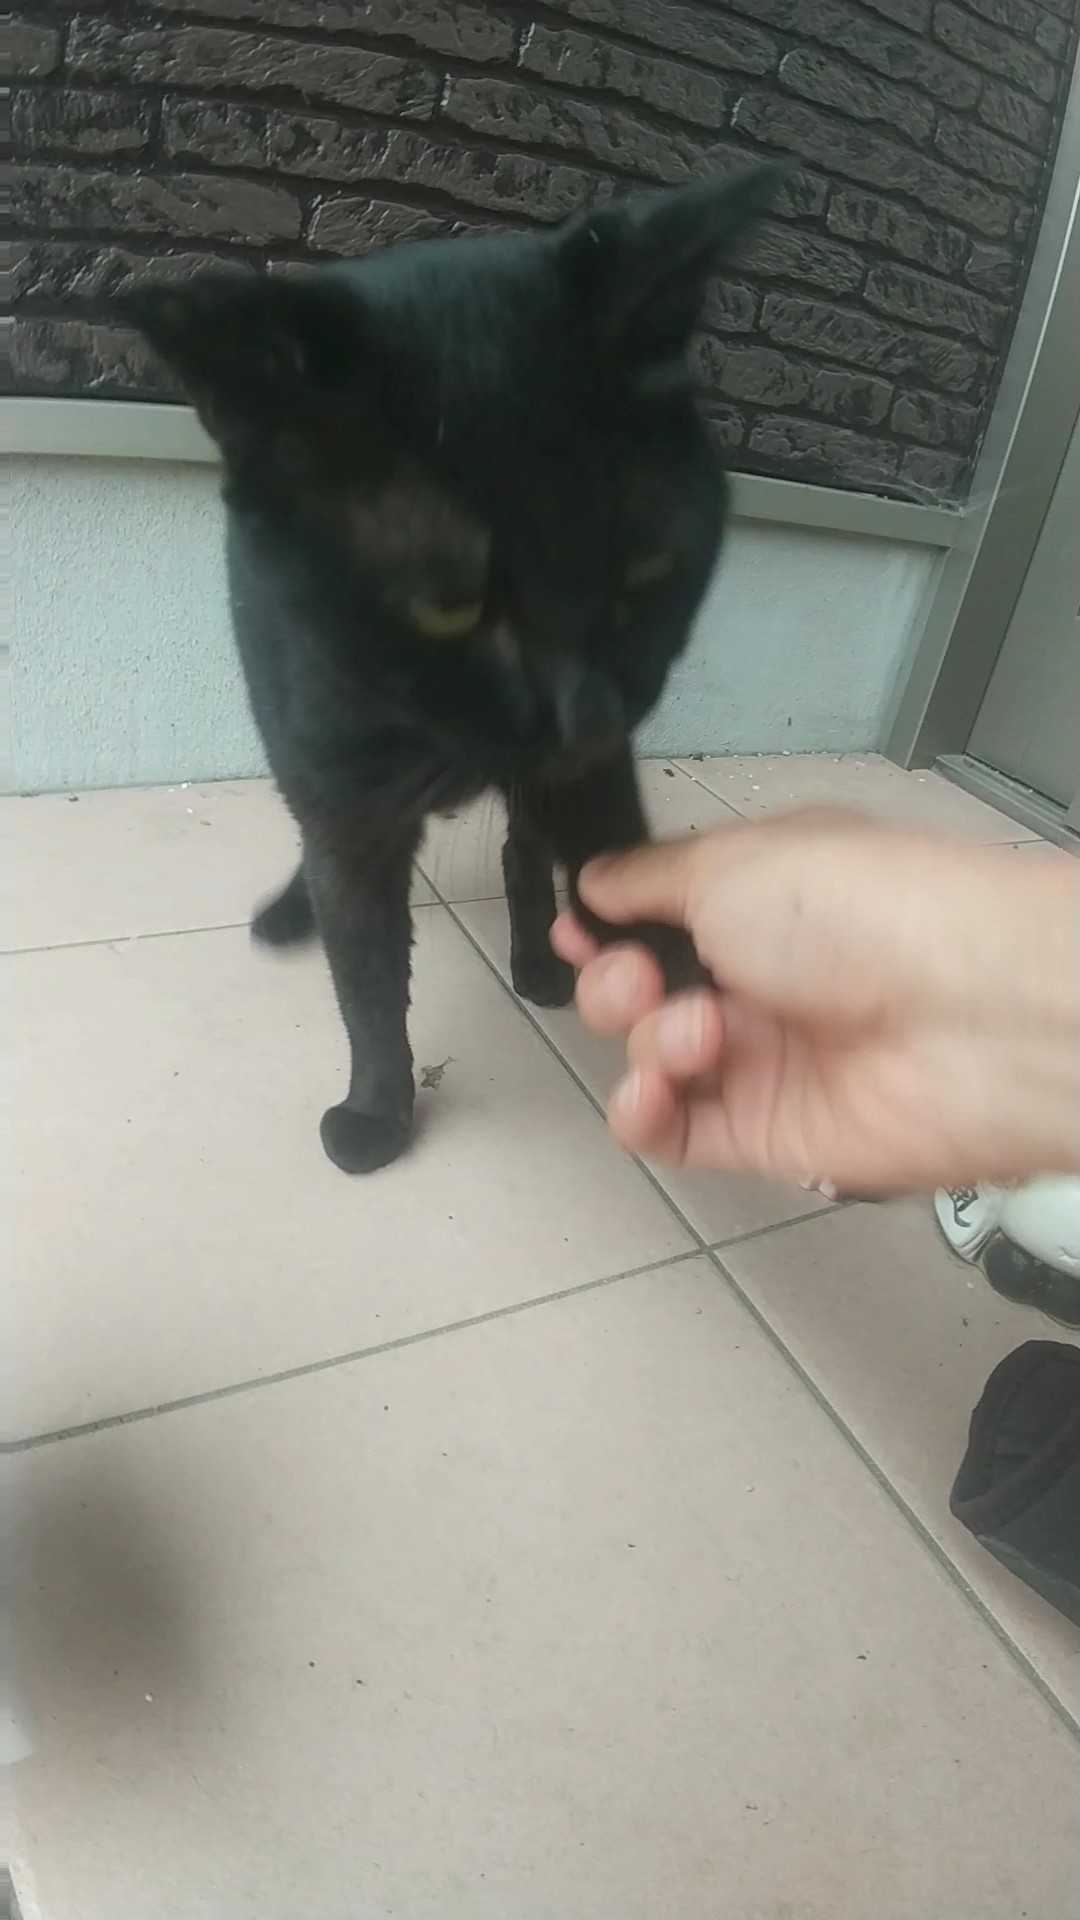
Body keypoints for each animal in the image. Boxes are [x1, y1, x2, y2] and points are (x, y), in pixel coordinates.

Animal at [123, 165, 776, 1175]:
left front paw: (682, 1000)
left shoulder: (590, 781)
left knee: (522, 853)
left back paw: (540, 964)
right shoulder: (342, 799)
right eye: (447, 606)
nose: (590, 711)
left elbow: (605, 870)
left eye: (642, 569)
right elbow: (364, 973)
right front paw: (377, 1113)